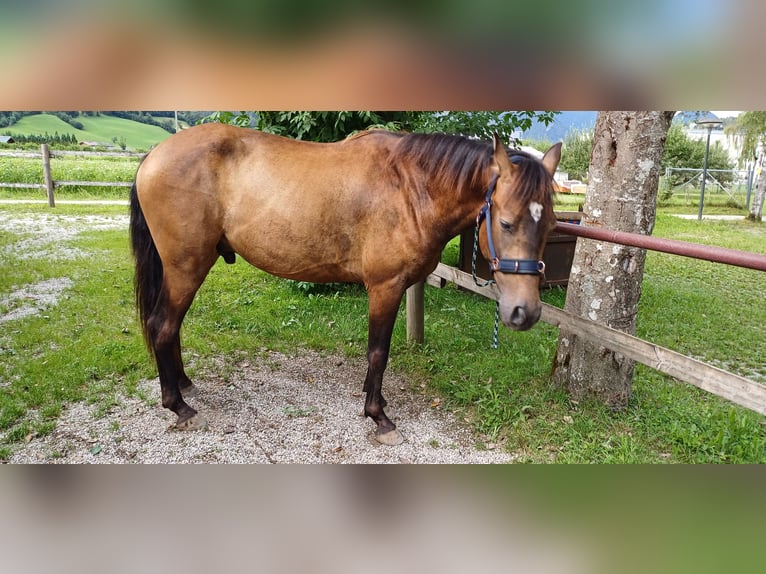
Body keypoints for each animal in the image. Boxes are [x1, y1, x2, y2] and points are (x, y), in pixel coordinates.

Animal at [130, 122, 564, 446]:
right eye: (505, 223)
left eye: (550, 224)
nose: (525, 312)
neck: (410, 187)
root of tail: (153, 154)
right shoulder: (385, 287)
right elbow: (378, 352)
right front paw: (379, 417)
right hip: (186, 267)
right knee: (162, 325)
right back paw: (179, 407)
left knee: (171, 327)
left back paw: (184, 385)